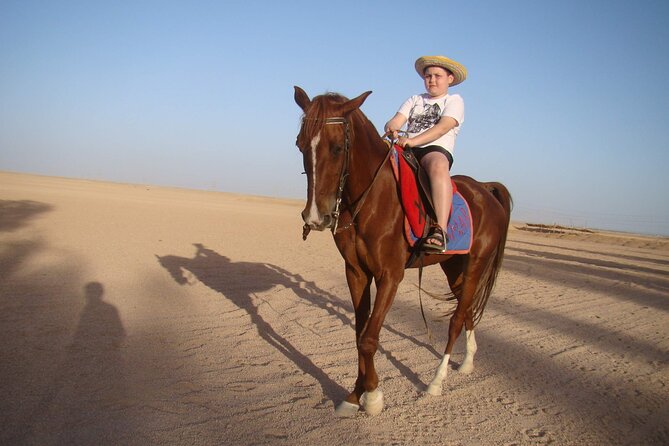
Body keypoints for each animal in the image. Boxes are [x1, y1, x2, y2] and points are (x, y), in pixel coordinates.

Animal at [292, 88, 512, 418]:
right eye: (300, 144)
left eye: (337, 147)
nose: (316, 217)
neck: (373, 198)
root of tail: (485, 189)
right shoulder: (356, 272)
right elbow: (359, 334)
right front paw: (354, 395)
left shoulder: (390, 276)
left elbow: (369, 339)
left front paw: (372, 397)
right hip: (453, 268)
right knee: (468, 310)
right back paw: (468, 363)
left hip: (475, 265)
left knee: (456, 319)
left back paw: (436, 382)